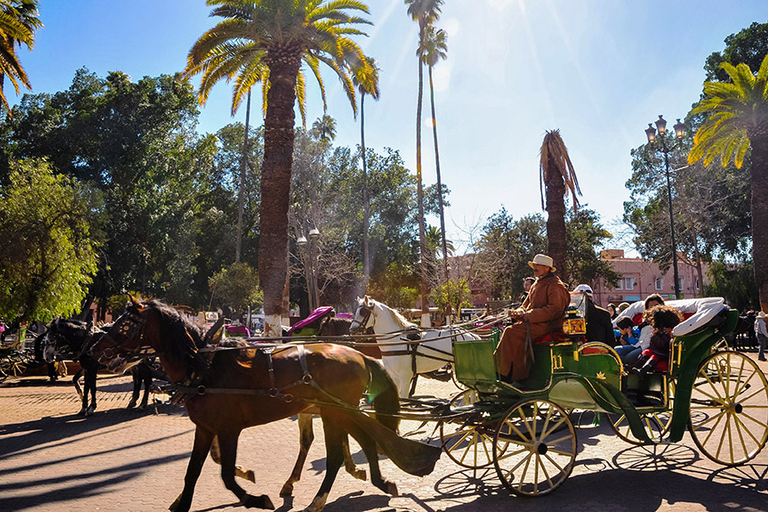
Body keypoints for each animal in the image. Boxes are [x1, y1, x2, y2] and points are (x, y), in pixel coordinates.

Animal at [88, 300, 438, 512]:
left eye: (124, 325)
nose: (94, 348)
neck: (206, 366)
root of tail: (358, 354)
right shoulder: (206, 428)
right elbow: (193, 471)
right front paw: (182, 502)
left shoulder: (228, 429)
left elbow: (226, 475)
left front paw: (255, 497)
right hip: (340, 409)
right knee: (364, 439)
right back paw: (380, 480)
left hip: (333, 411)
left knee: (338, 455)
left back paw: (319, 499)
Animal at [350, 296, 480, 400]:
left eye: (363, 312)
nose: (352, 330)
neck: (397, 340)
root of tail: (471, 336)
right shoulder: (394, 376)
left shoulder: (405, 376)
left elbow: (404, 399)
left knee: (470, 390)